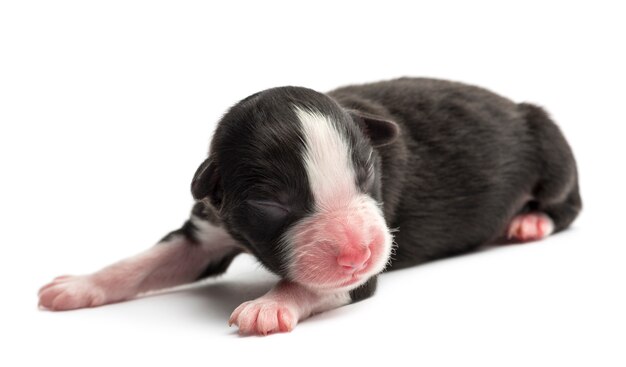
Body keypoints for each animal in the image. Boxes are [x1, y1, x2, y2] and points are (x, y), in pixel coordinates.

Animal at [36, 77, 580, 336]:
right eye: (271, 203)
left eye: (367, 174)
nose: (358, 253)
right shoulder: (207, 228)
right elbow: (144, 262)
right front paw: (78, 285)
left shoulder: (364, 274)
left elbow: (309, 284)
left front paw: (270, 305)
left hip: (551, 145)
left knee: (568, 203)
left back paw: (529, 221)